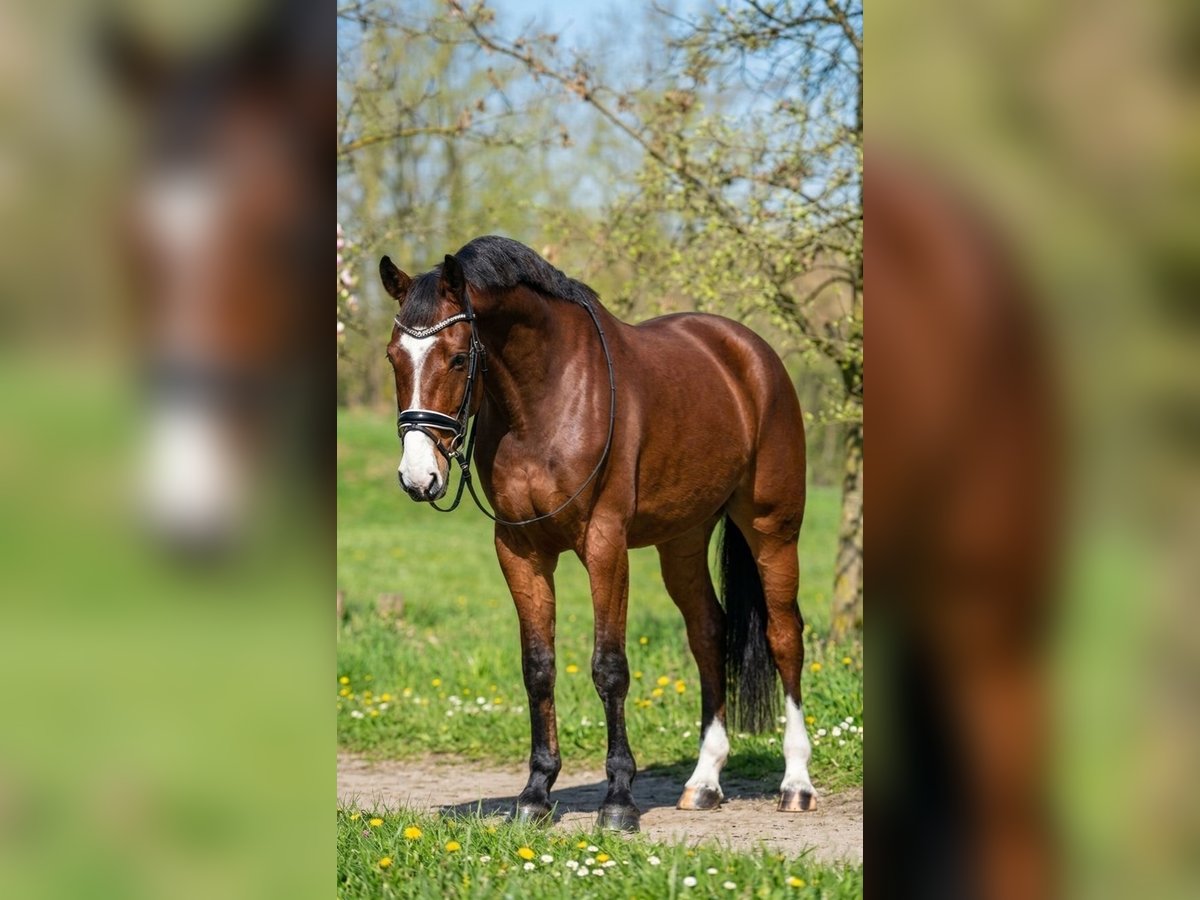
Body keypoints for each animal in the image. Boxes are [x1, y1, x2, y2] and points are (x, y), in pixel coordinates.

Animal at [381, 235, 815, 830]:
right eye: (393, 357)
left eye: (459, 357)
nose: (417, 477)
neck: (546, 400)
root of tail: (751, 354)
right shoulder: (520, 551)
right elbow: (538, 668)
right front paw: (535, 793)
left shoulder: (605, 546)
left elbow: (609, 668)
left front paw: (618, 800)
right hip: (682, 541)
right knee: (708, 632)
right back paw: (704, 782)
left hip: (772, 528)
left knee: (784, 636)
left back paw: (796, 783)